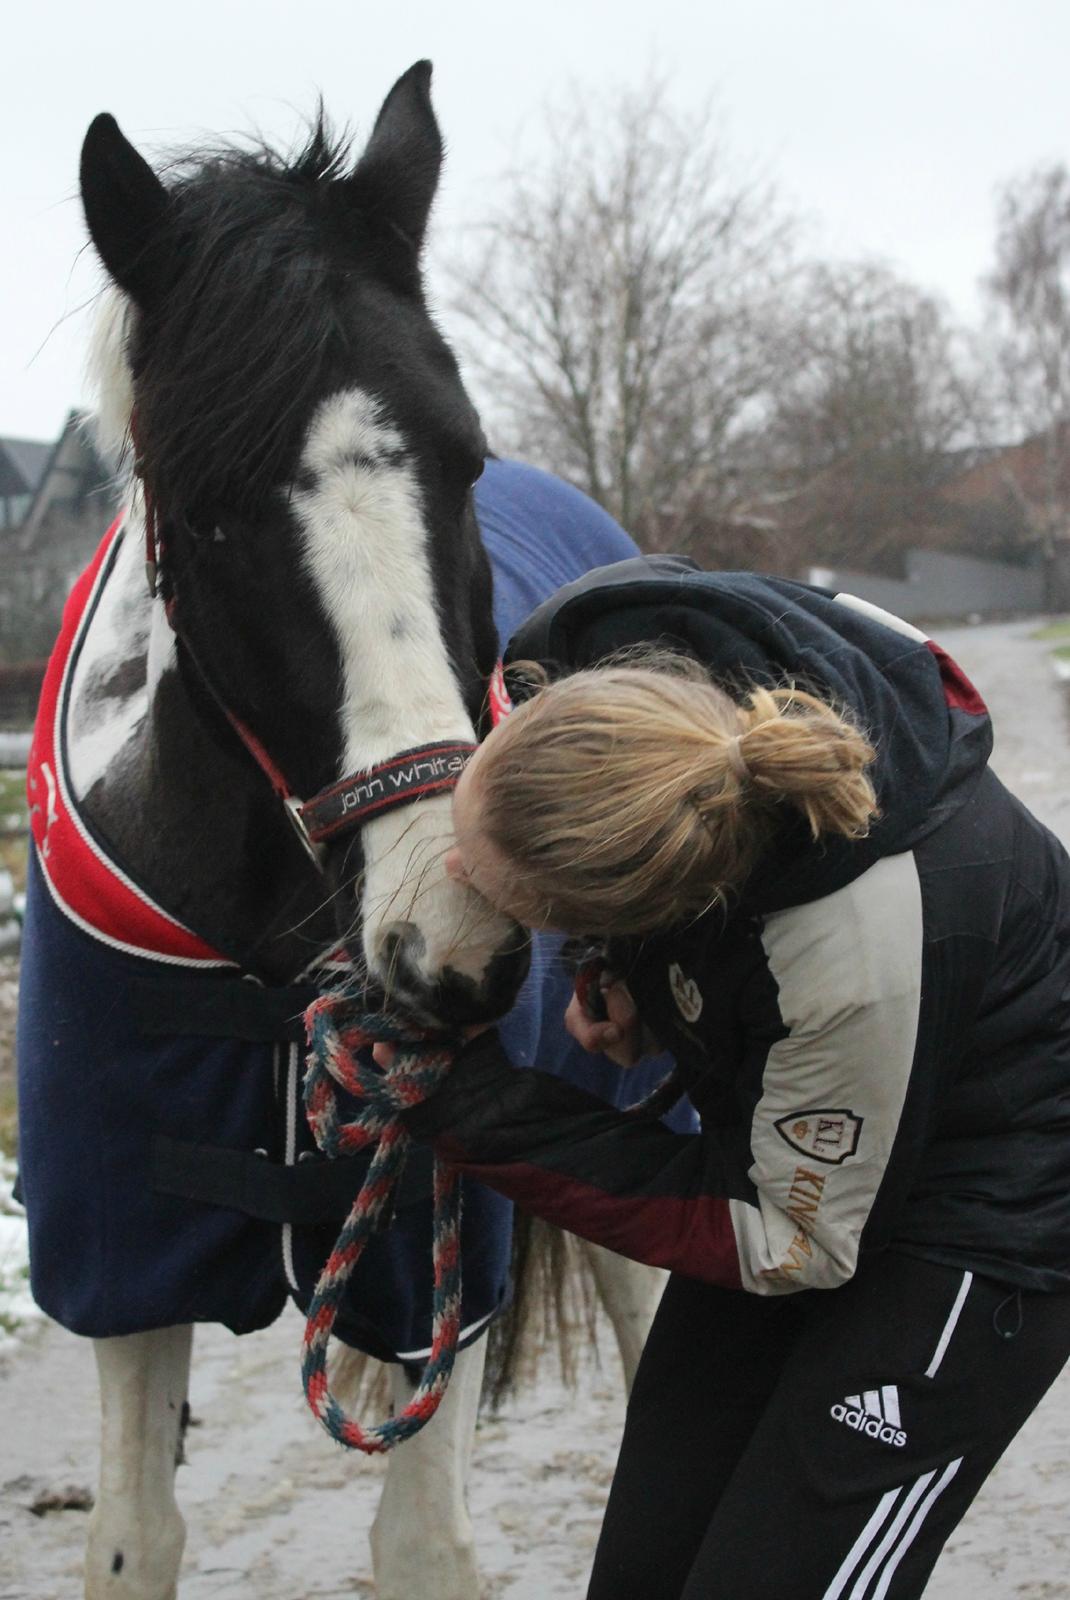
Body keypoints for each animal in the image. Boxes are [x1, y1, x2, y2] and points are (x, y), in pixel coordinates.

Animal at [14, 62, 668, 1600]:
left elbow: (422, 1546)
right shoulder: (124, 1252)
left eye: (465, 459)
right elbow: (131, 1539)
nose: (457, 935)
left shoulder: (440, 1245)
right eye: (207, 513)